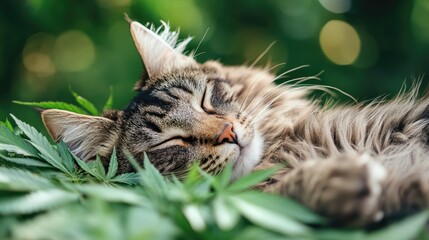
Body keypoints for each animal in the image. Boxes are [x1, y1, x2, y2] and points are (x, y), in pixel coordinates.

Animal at [40, 19, 428, 226]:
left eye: (204, 100)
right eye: (171, 143)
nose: (227, 133)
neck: (289, 149)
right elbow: (278, 195)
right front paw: (341, 182)